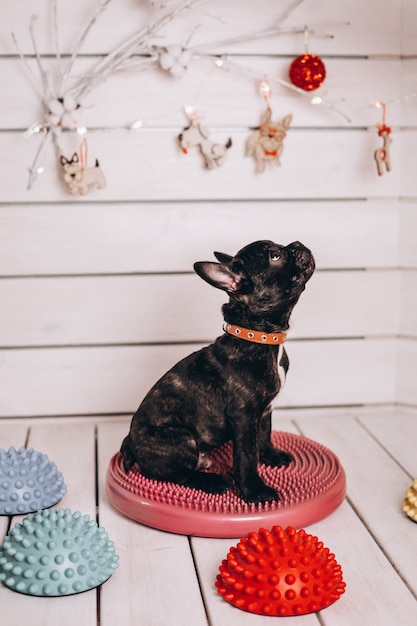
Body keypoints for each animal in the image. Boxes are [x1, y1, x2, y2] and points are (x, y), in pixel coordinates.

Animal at [121, 239, 316, 502]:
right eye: (275, 256)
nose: (297, 243)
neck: (260, 337)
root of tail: (130, 443)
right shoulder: (243, 415)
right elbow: (247, 456)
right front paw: (254, 490)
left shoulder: (264, 411)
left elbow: (264, 435)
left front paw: (271, 455)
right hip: (182, 438)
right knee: (179, 475)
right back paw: (211, 481)